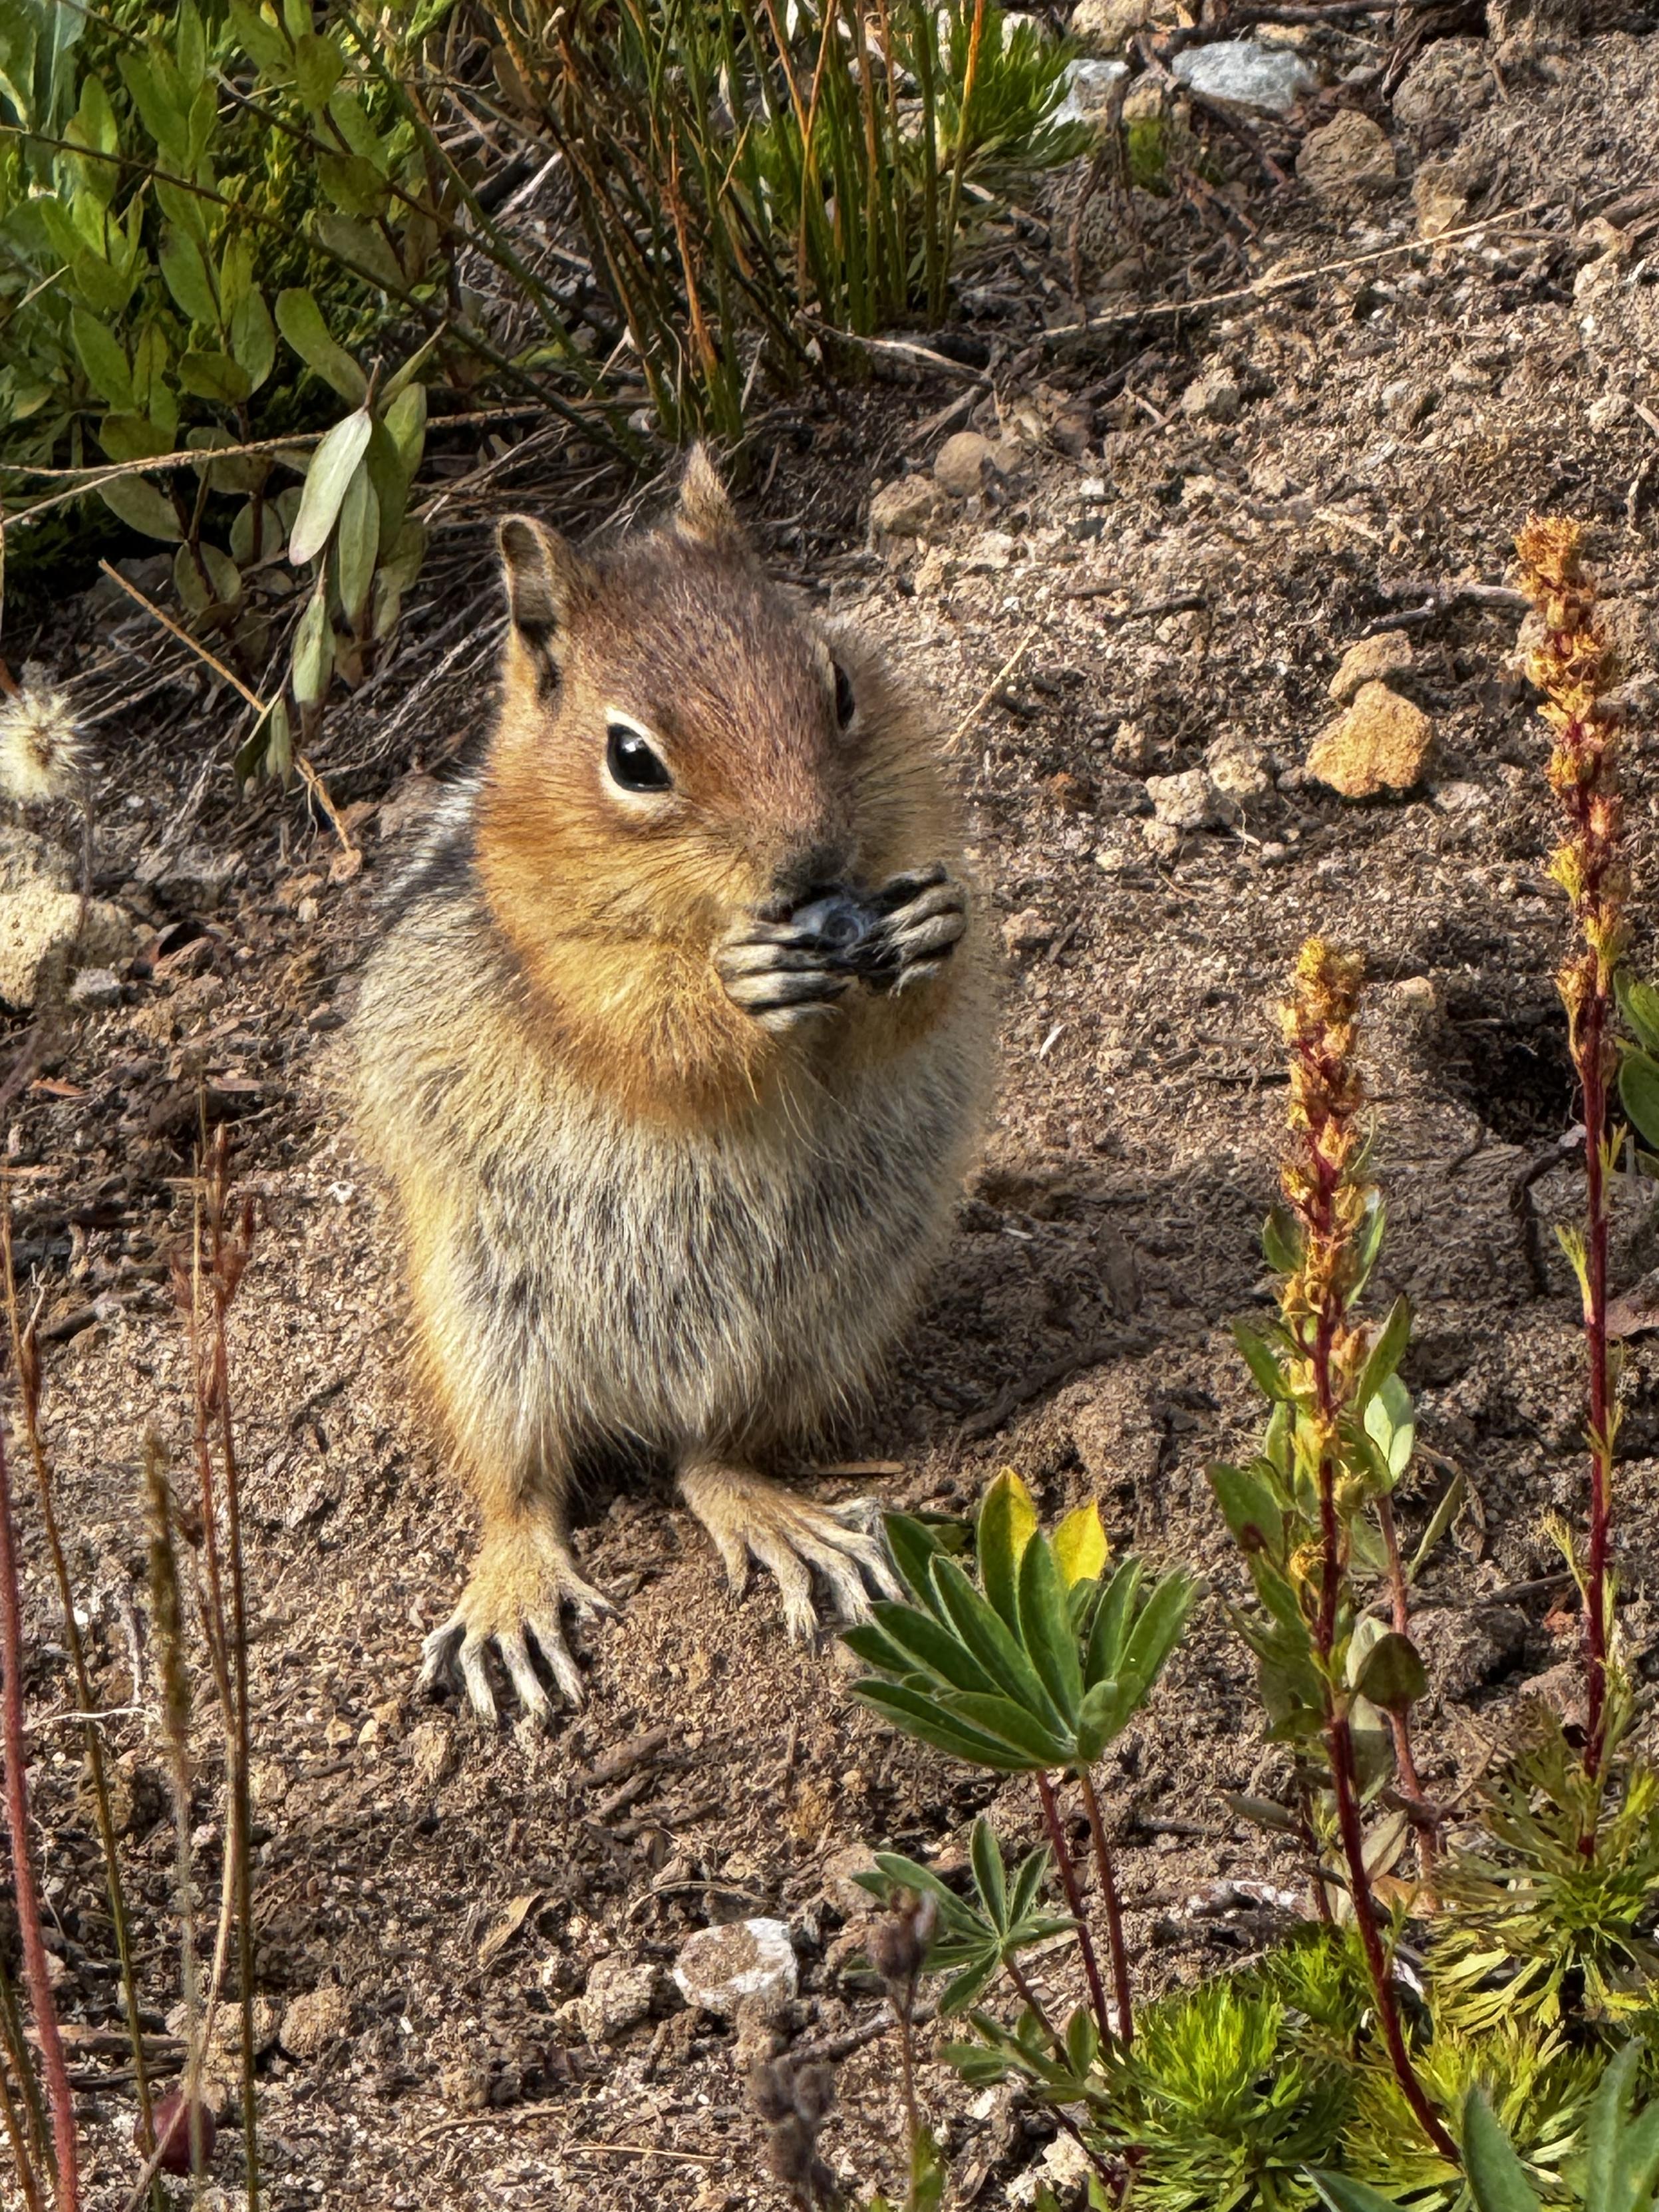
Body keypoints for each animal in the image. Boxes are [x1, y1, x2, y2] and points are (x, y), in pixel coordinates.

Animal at [351, 448, 992, 1723]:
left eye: (835, 682)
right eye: (632, 758)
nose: (813, 862)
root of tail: (650, 1403)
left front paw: (934, 927)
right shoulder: (557, 952)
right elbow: (644, 1032)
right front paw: (732, 993)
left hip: (827, 1317)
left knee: (711, 1457)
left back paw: (783, 1523)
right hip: (487, 1323)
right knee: (517, 1489)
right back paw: (513, 1601)